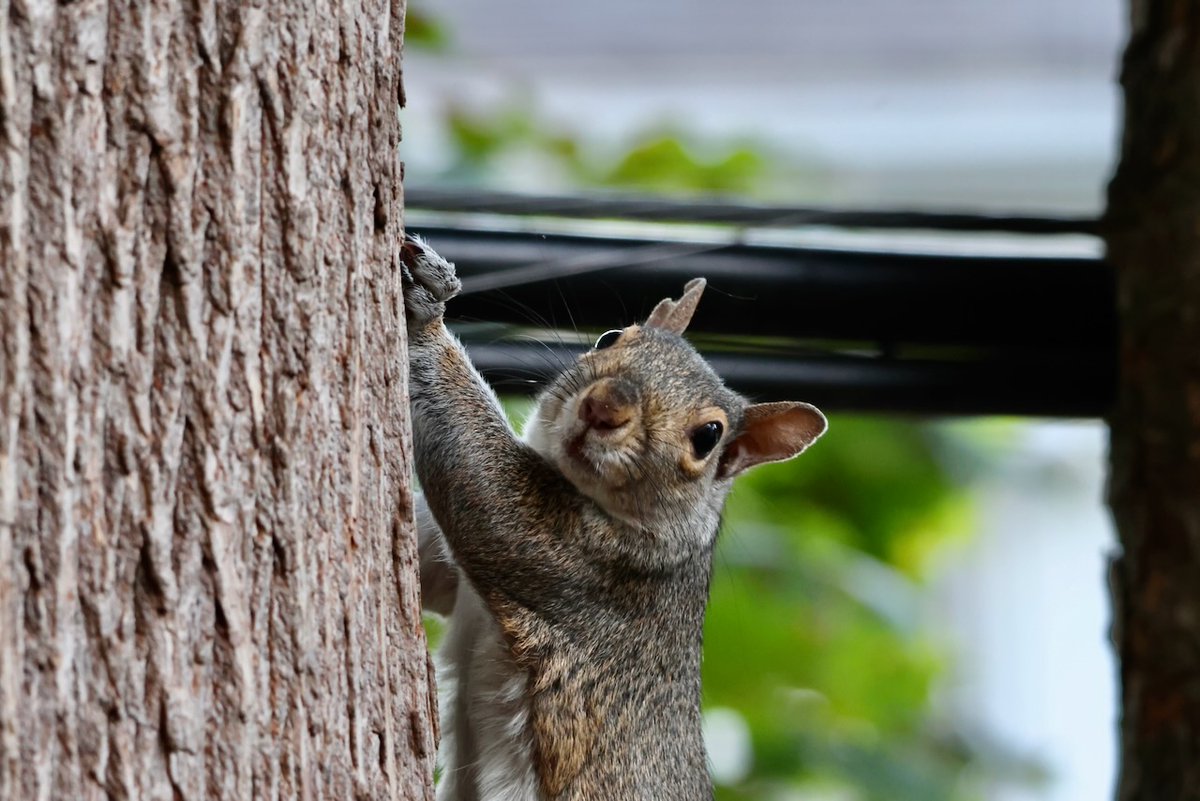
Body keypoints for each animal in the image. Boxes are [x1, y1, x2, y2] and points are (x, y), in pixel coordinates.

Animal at [401, 234, 827, 801]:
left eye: (708, 436)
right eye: (609, 338)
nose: (604, 406)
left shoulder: (582, 562)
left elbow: (483, 490)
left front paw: (427, 309)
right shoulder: (456, 582)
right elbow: (429, 568)